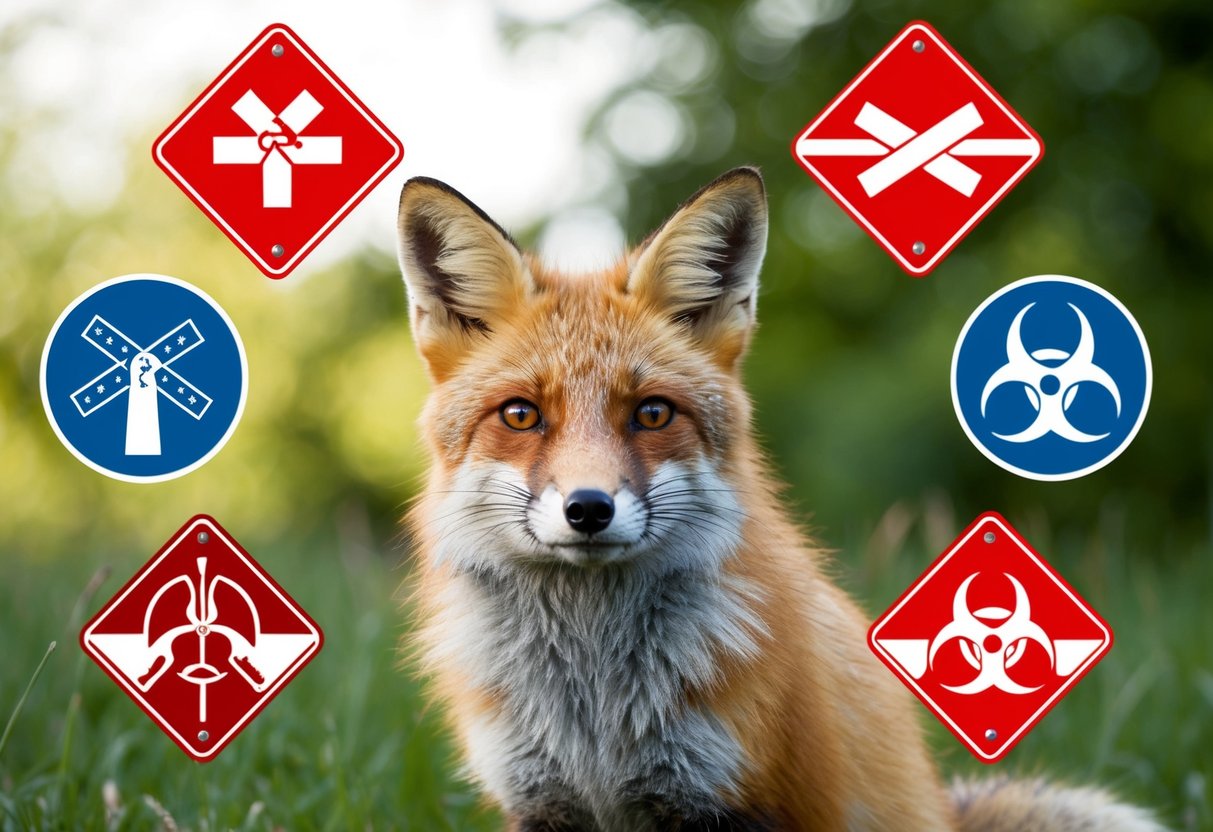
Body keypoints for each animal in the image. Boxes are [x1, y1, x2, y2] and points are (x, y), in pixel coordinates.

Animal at [395, 167, 1165, 831]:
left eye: (651, 413)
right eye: (521, 415)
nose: (588, 509)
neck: (596, 711)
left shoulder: (737, 795)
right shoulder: (541, 799)